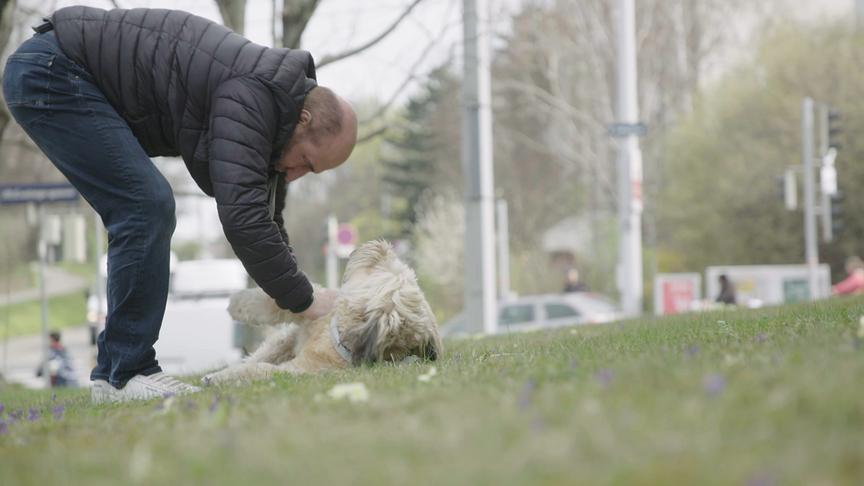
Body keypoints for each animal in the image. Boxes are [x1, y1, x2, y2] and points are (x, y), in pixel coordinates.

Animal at [201, 238, 438, 384]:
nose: (381, 247)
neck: (336, 342)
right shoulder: (310, 315)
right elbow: (280, 305)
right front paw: (238, 304)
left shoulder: (295, 371)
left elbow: (259, 370)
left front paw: (221, 379)